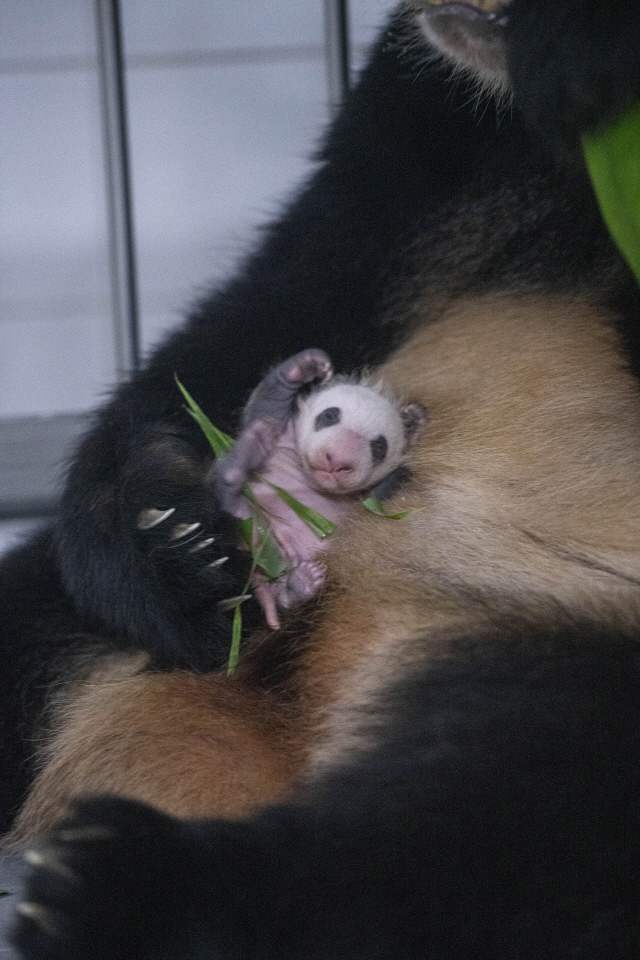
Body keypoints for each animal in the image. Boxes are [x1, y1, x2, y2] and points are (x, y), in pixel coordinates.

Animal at [212, 346, 428, 632]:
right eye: (329, 416)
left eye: (379, 447)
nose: (337, 460)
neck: (315, 482)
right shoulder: (283, 434)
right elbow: (264, 408)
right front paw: (307, 366)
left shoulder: (365, 503)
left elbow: (379, 499)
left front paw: (414, 422)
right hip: (253, 530)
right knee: (233, 506)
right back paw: (243, 461)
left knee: (282, 599)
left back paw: (300, 585)